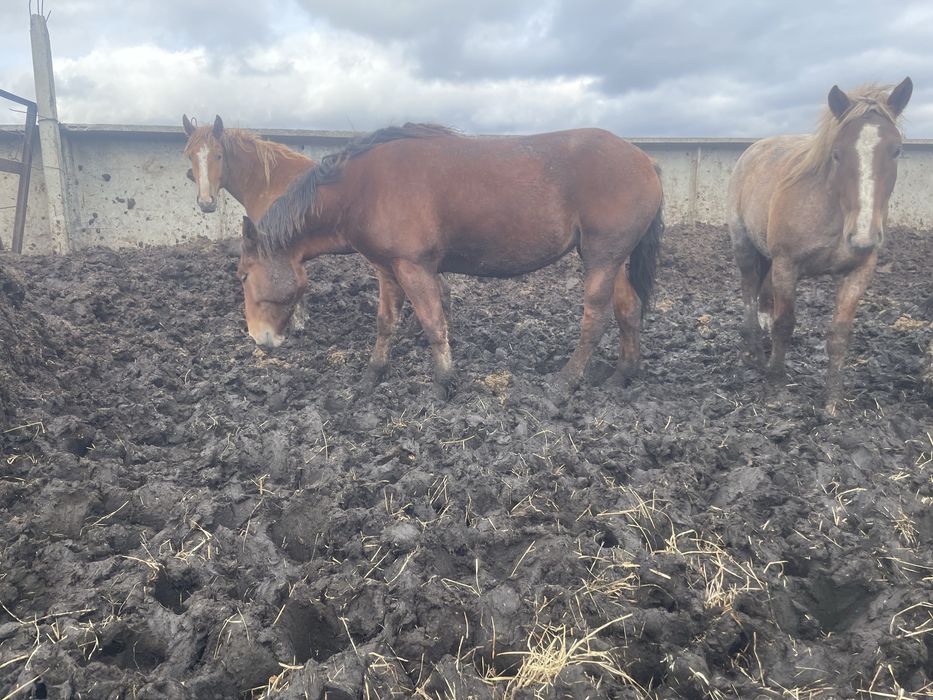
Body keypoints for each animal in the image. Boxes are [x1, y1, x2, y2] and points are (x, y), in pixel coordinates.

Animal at [237, 123, 664, 398]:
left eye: (242, 276)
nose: (259, 338)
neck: (362, 188)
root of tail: (644, 160)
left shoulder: (414, 267)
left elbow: (433, 324)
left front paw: (444, 382)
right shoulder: (387, 270)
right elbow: (385, 324)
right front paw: (370, 377)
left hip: (601, 258)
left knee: (596, 317)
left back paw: (566, 382)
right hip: (612, 260)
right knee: (628, 310)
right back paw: (620, 378)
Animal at [727, 78, 912, 411]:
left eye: (896, 150)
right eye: (836, 153)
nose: (862, 237)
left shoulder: (859, 272)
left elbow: (839, 333)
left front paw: (832, 400)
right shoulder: (787, 266)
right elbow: (785, 324)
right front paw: (776, 385)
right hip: (744, 247)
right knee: (748, 292)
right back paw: (753, 351)